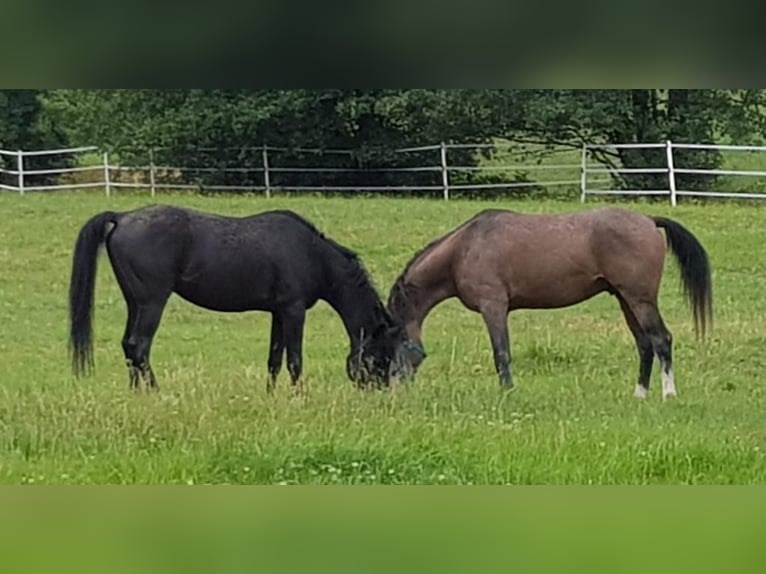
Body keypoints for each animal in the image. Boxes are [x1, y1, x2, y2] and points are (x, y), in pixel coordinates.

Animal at [69, 206, 412, 392]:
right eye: (381, 356)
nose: (378, 390)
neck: (312, 255)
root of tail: (123, 217)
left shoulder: (278, 312)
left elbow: (274, 360)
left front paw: (271, 396)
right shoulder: (294, 311)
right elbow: (295, 360)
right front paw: (299, 397)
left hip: (135, 303)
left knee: (129, 346)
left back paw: (136, 393)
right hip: (153, 302)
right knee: (139, 346)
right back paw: (156, 391)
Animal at [388, 207, 716, 400]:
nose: (393, 387)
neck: (464, 248)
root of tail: (648, 221)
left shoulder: (493, 306)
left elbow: (501, 353)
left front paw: (508, 393)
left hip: (640, 299)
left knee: (661, 340)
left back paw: (669, 394)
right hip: (626, 300)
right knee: (645, 345)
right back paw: (640, 395)